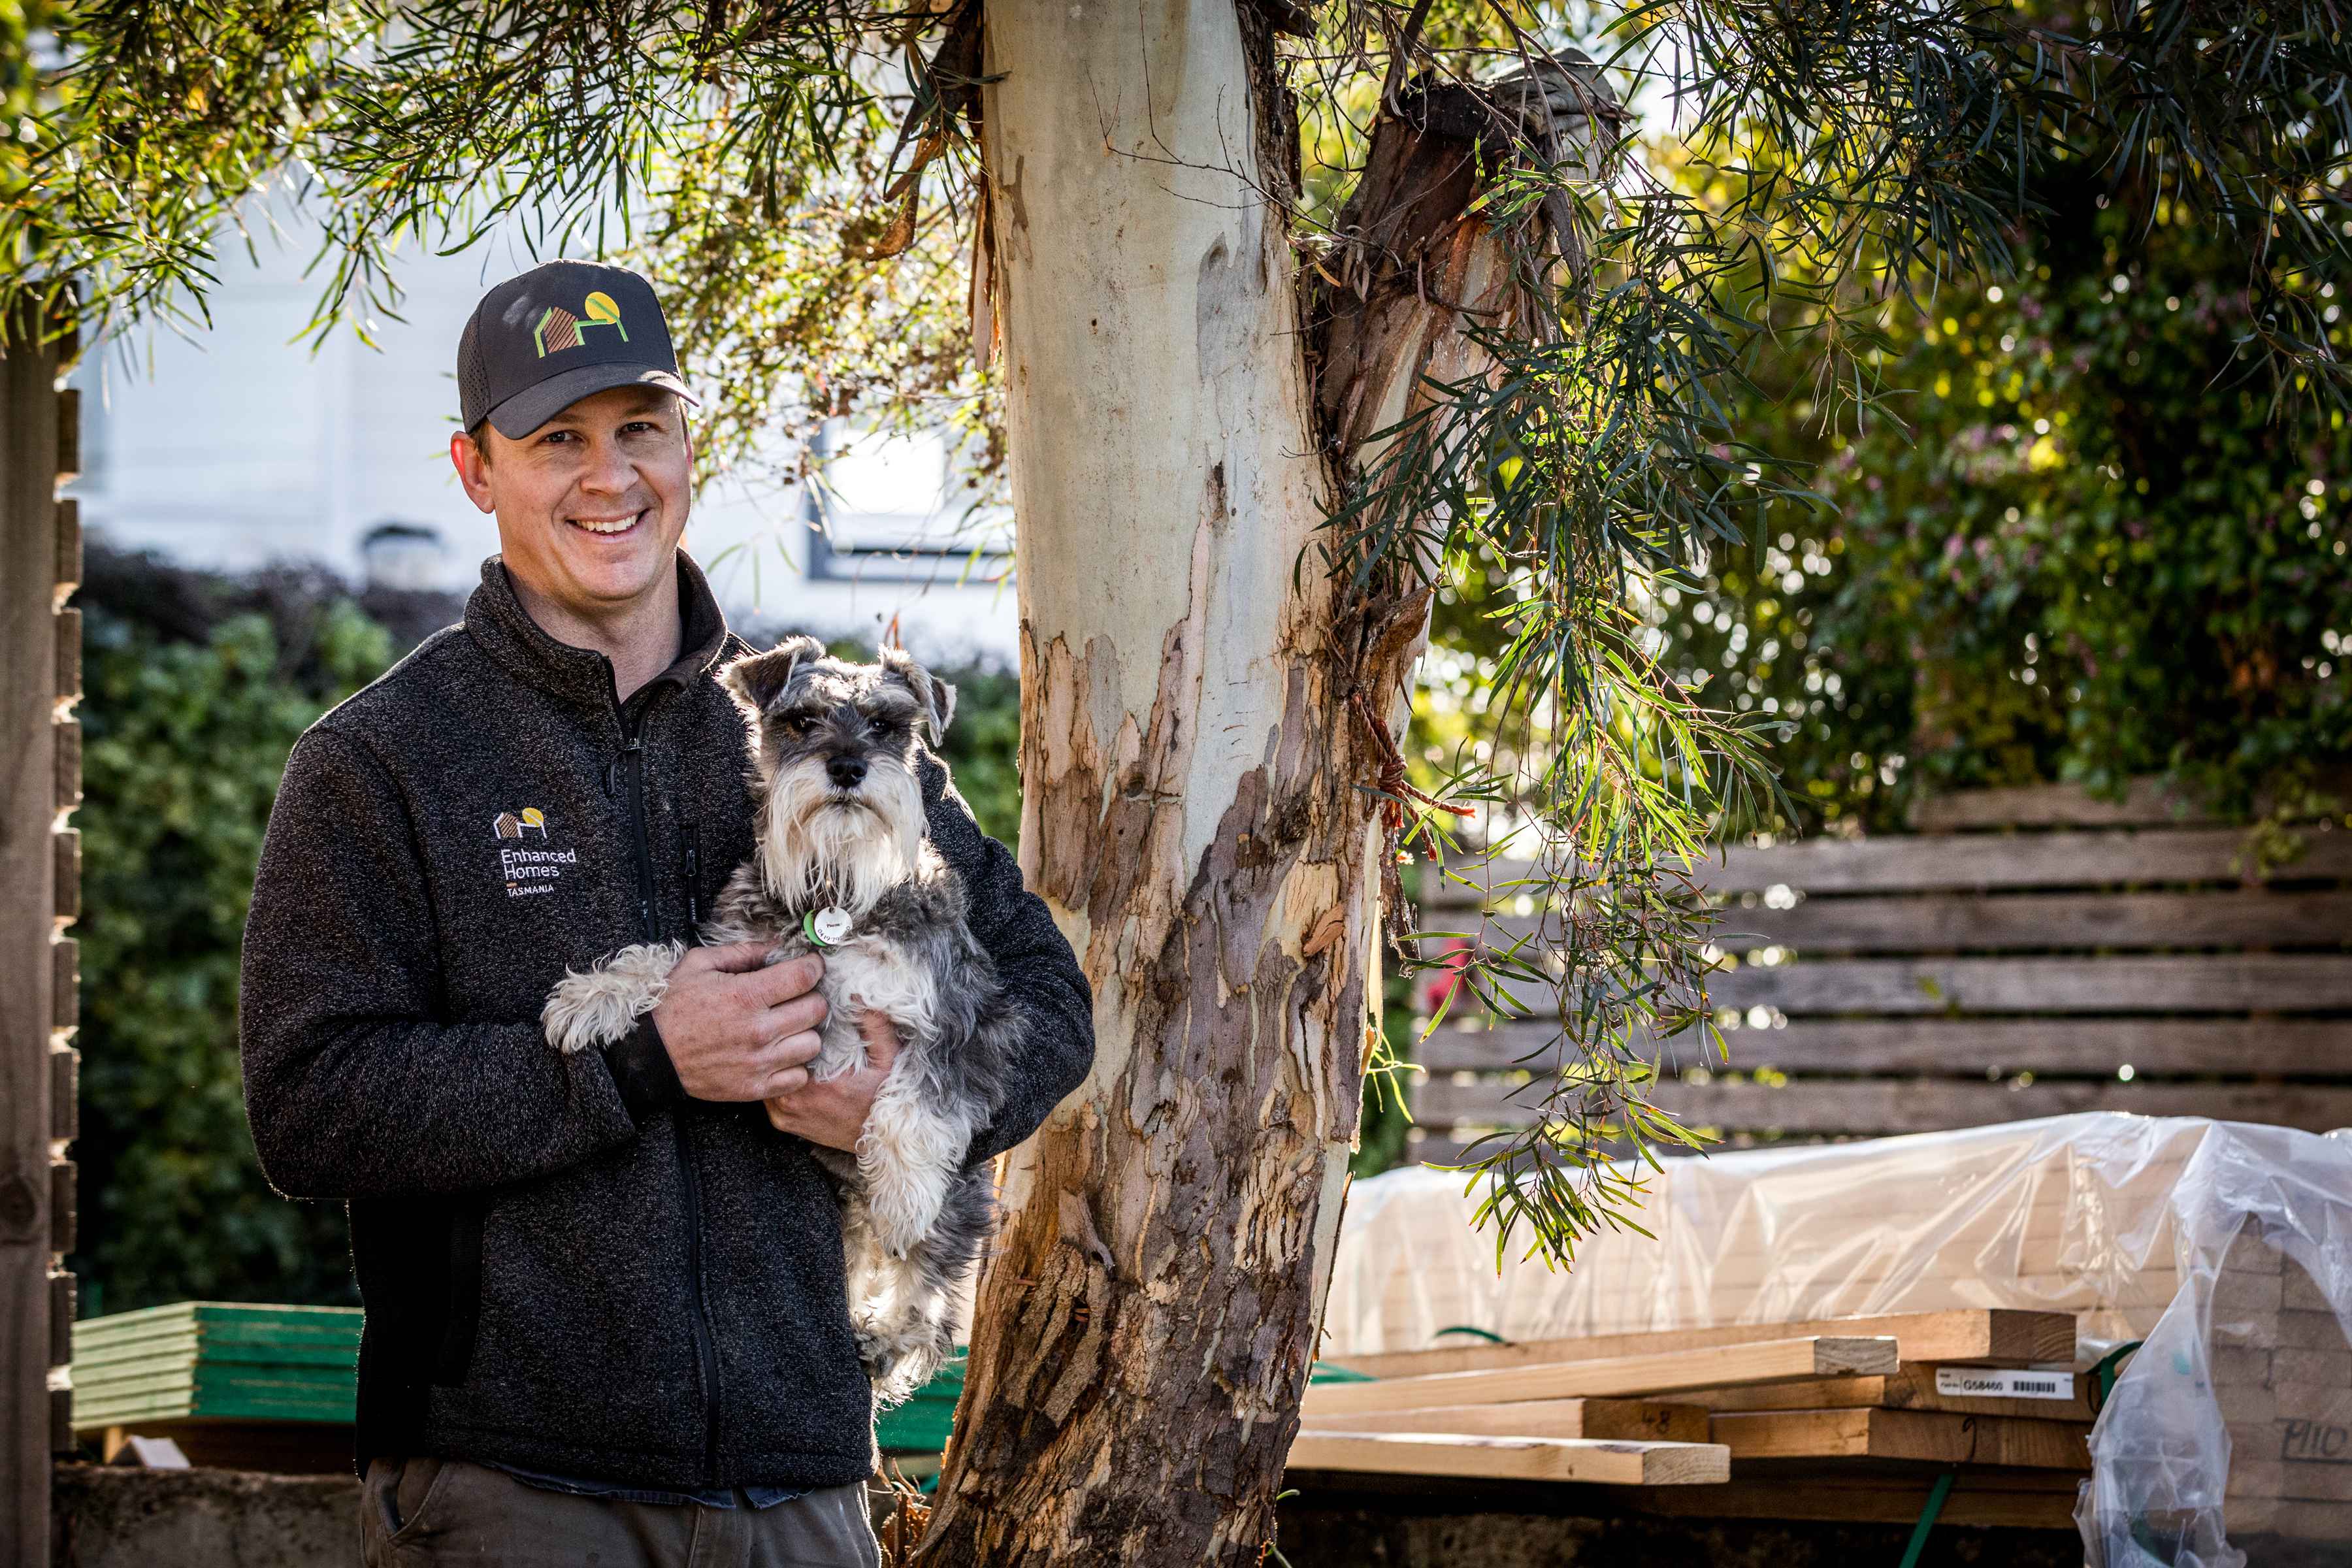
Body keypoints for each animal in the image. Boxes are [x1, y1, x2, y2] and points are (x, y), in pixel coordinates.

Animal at [541, 639, 1021, 1410]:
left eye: (887, 726)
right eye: (802, 721)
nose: (848, 768)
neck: (838, 891)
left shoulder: (969, 1024)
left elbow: (917, 1101)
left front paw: (903, 1192)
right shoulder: (734, 956)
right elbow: (666, 957)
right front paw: (593, 996)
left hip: (963, 1203)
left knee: (932, 1302)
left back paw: (885, 1333)